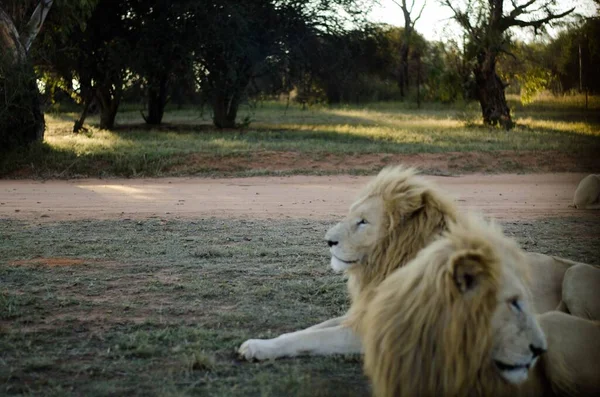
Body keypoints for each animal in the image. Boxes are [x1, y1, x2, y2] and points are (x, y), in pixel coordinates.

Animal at [238, 166, 596, 360]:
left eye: (363, 222)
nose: (328, 241)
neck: (387, 265)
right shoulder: (366, 312)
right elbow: (308, 330)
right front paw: (257, 345)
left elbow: (311, 339)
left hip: (576, 274)